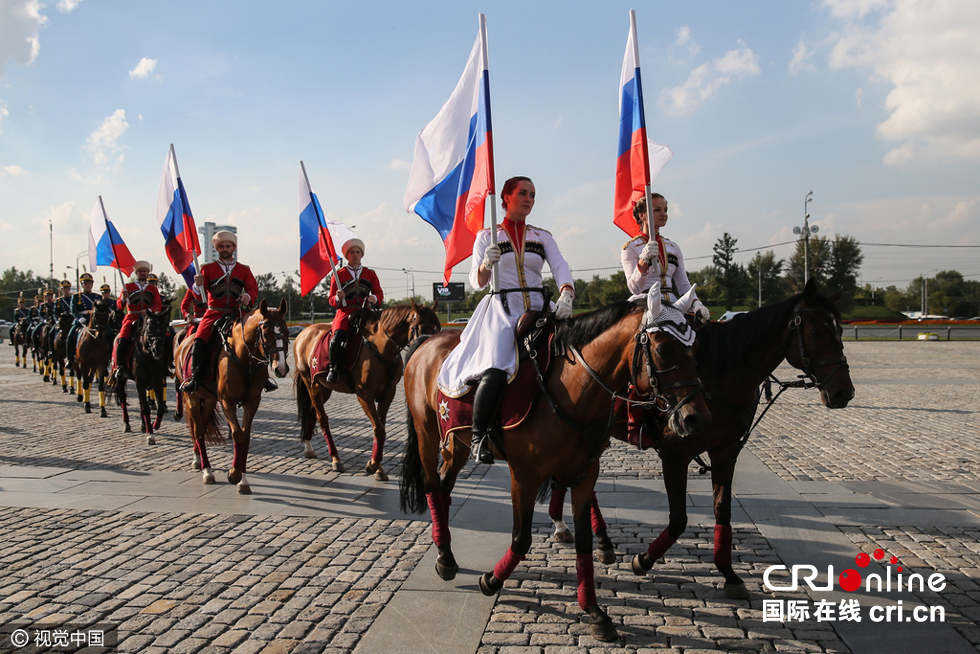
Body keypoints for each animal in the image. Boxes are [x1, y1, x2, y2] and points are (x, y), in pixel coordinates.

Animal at [175, 300, 290, 494]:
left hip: (209, 399)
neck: (244, 359)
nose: (280, 368)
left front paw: (242, 479)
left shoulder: (252, 401)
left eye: (287, 331)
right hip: (192, 397)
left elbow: (246, 436)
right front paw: (235, 474)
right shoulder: (226, 401)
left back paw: (199, 459)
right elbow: (237, 434)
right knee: (198, 431)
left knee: (202, 428)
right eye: (265, 331)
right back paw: (206, 470)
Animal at [292, 302, 442, 482]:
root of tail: (304, 333)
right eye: (420, 327)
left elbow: (381, 428)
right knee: (322, 418)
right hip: (311, 384)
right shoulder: (364, 395)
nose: (431, 350)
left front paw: (378, 467)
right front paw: (373, 465)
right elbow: (379, 429)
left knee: (312, 412)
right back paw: (335, 458)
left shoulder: (387, 395)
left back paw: (309, 448)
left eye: (438, 328)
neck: (381, 347)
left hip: (324, 388)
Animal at [398, 294, 712, 644]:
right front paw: (491, 581)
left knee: (444, 485)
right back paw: (445, 557)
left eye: (694, 350)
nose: (697, 418)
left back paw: (445, 553)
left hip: (456, 439)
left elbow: (584, 542)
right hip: (427, 433)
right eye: (663, 350)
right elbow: (521, 539)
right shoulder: (523, 476)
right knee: (431, 484)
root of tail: (427, 341)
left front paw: (594, 611)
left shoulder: (585, 472)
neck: (571, 389)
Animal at [548, 280, 852, 604]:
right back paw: (597, 539)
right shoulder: (675, 454)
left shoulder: (725, 452)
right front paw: (644, 560)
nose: (844, 392)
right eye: (817, 331)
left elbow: (723, 511)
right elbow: (679, 518)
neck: (721, 375)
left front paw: (729, 573)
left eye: (841, 331)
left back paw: (574, 529)